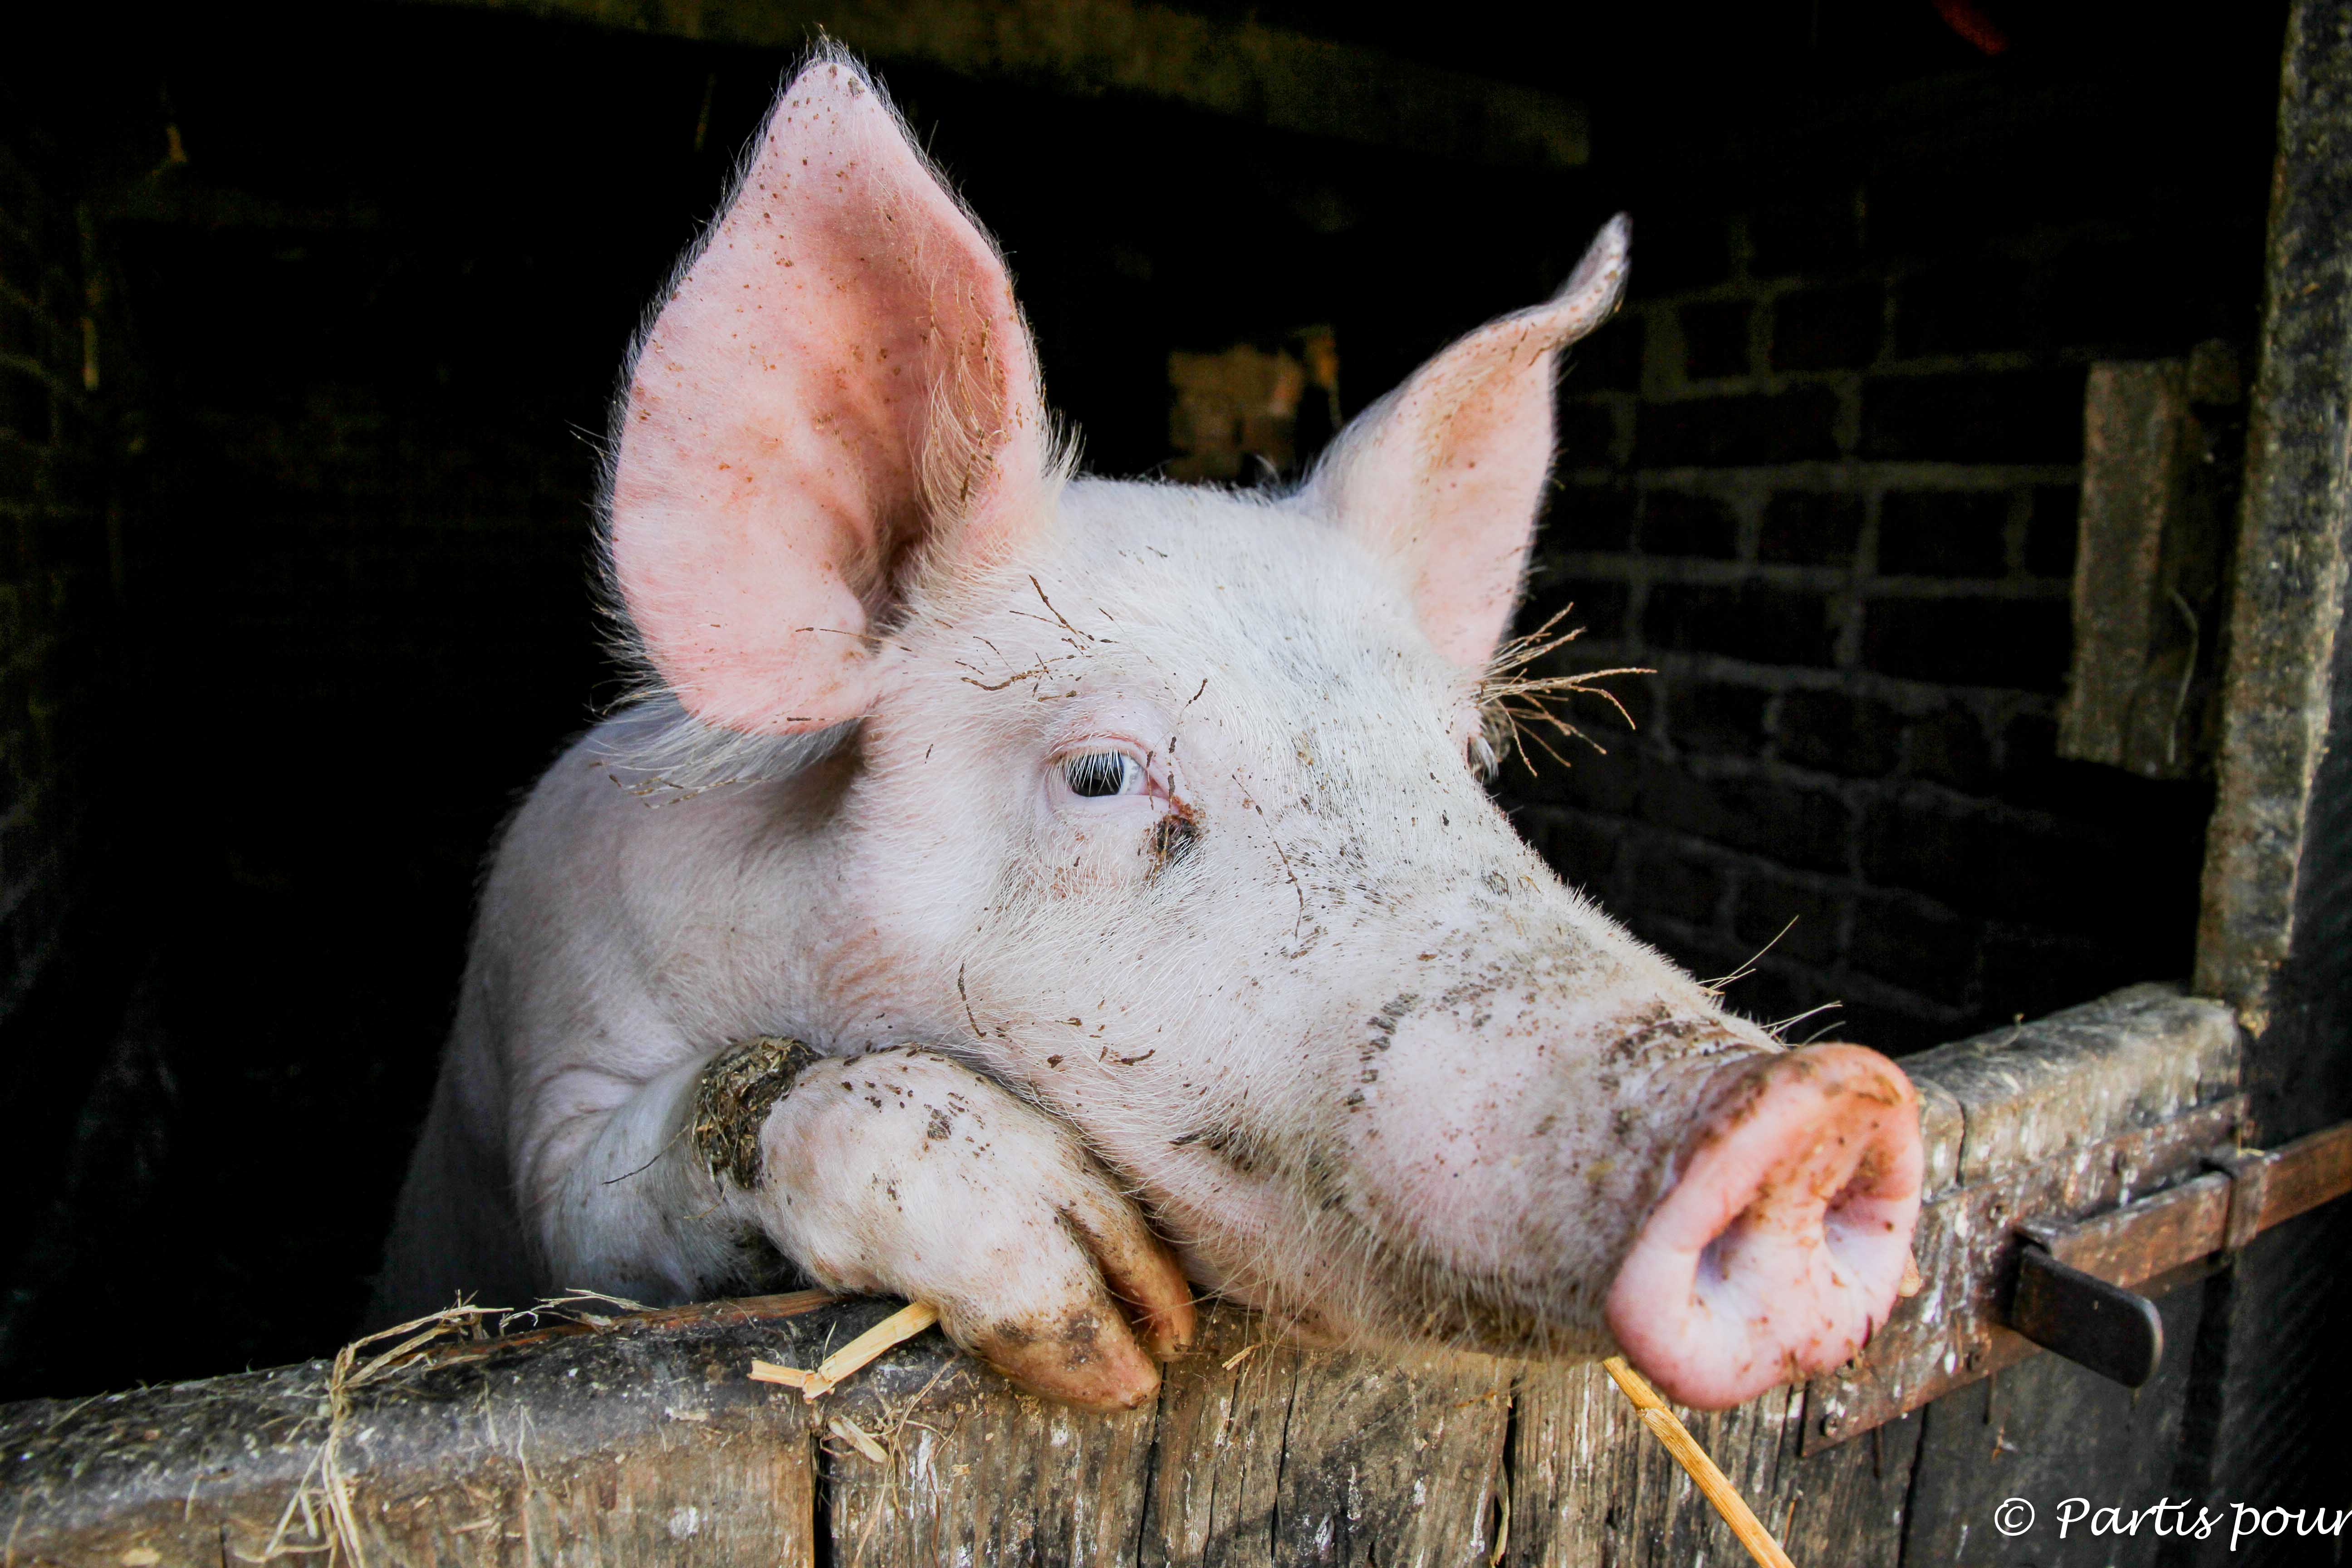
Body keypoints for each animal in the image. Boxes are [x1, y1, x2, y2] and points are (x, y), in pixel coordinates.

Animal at [372, 55, 1928, 1420]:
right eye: (1105, 773)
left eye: (1468, 764)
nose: (1816, 1104)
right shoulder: (549, 1089)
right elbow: (621, 1191)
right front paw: (1101, 1308)